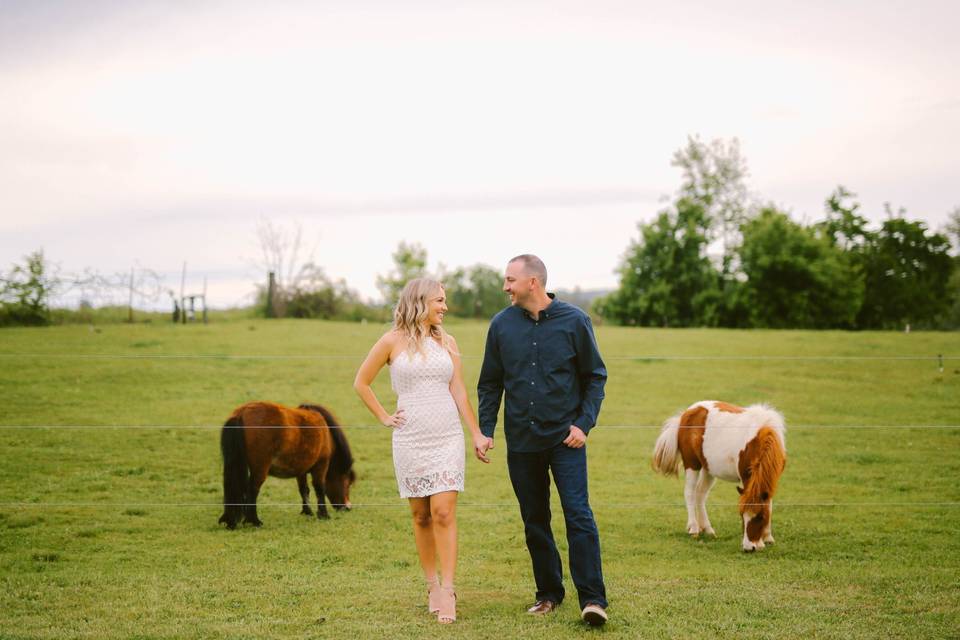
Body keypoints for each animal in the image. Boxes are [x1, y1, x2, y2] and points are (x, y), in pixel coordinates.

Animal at [218, 400, 356, 528]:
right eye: (348, 482)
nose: (348, 507)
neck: (326, 432)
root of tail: (242, 413)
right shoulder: (321, 465)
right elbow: (319, 489)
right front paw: (323, 515)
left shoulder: (301, 470)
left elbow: (304, 489)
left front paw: (307, 511)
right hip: (260, 468)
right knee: (253, 490)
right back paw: (254, 521)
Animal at [652, 400, 788, 552]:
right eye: (742, 515)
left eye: (761, 517)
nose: (749, 548)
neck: (761, 436)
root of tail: (687, 412)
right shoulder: (746, 477)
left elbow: (768, 504)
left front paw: (768, 537)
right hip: (692, 464)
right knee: (690, 493)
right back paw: (694, 528)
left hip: (708, 469)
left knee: (700, 494)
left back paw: (707, 529)